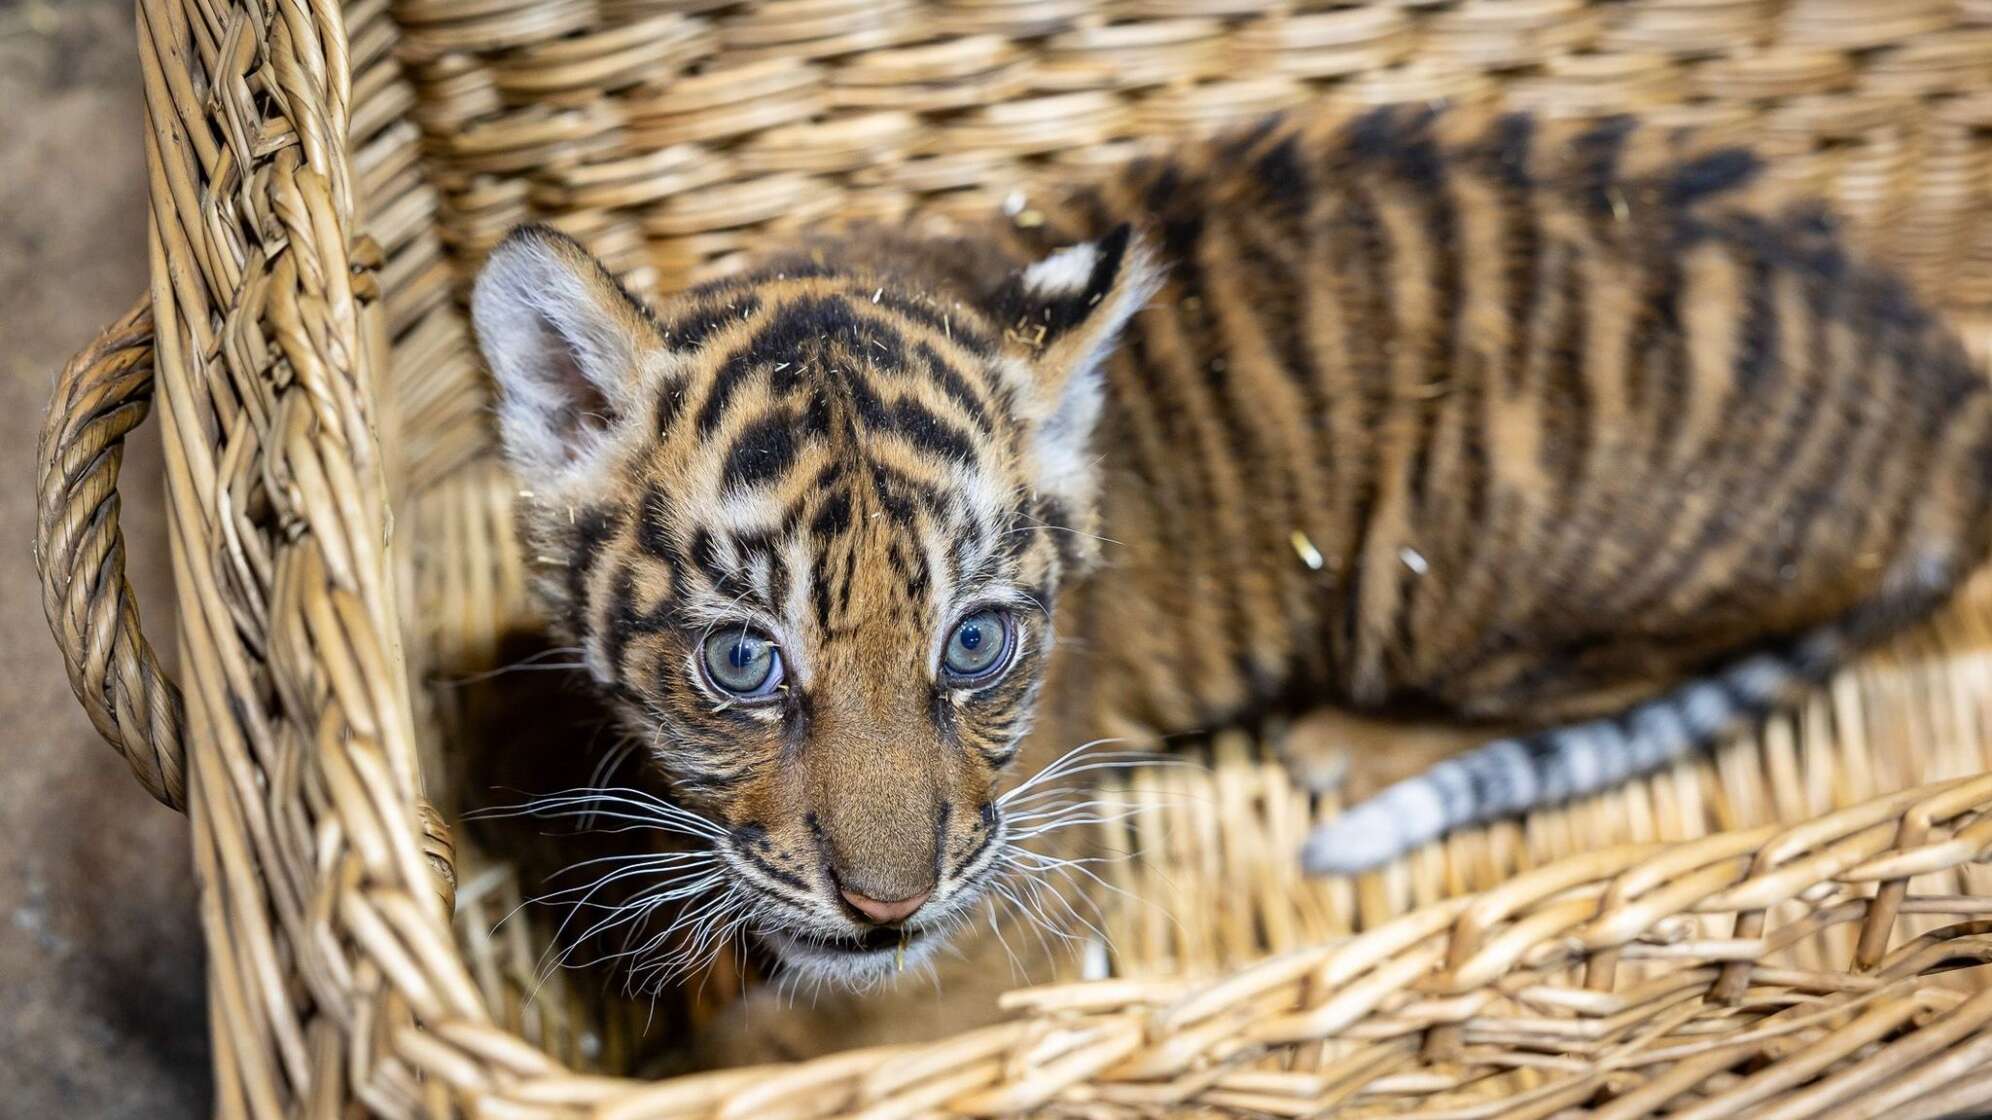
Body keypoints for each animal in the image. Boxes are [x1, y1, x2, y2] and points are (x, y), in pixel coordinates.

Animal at [468, 103, 1992, 1062]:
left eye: (974, 646)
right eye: (743, 661)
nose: (886, 908)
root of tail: (1945, 394)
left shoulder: (1012, 908)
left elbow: (793, 1042)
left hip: (1450, 560)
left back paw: (1346, 745)